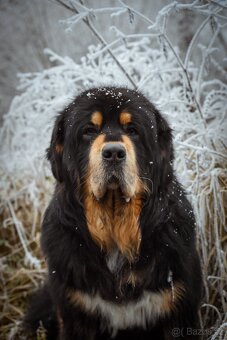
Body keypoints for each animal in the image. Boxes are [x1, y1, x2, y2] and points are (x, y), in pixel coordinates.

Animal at [24, 87, 202, 340]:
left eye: (132, 130)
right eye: (89, 130)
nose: (114, 152)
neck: (116, 237)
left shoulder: (178, 305)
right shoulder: (75, 311)